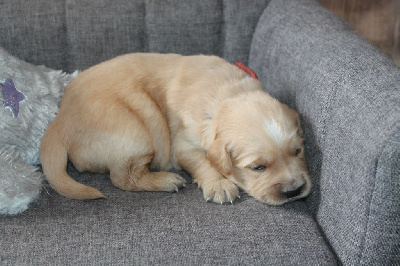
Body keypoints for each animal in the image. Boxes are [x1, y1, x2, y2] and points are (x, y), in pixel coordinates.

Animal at [40, 53, 310, 204]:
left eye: (298, 151)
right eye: (257, 167)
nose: (295, 191)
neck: (228, 94)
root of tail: (59, 122)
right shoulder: (182, 147)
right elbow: (203, 161)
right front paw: (219, 184)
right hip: (143, 129)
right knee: (122, 178)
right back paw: (167, 180)